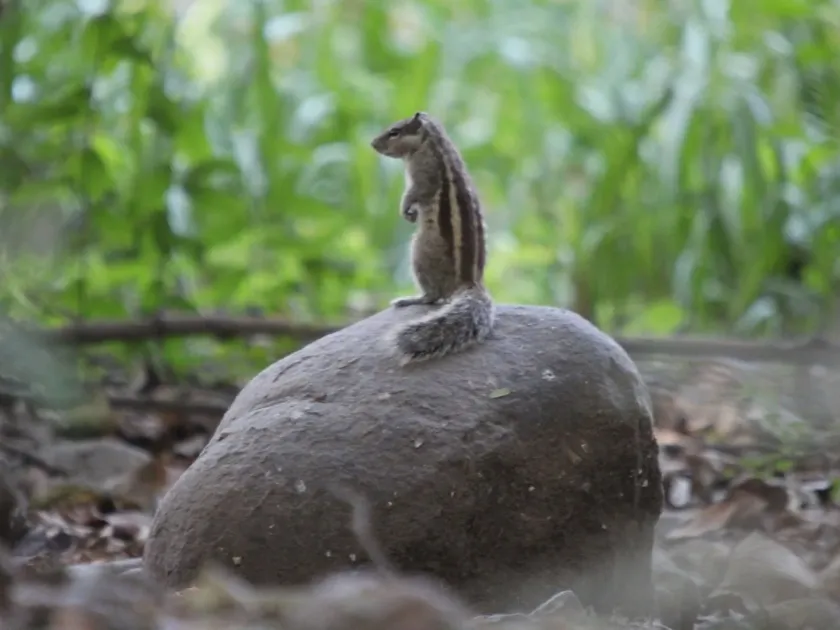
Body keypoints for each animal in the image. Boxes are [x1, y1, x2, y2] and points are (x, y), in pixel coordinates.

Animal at [370, 112, 495, 364]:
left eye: (394, 132)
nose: (372, 144)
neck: (431, 141)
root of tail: (471, 282)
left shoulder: (423, 174)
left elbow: (413, 193)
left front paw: (406, 211)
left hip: (419, 252)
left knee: (433, 296)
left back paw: (409, 299)